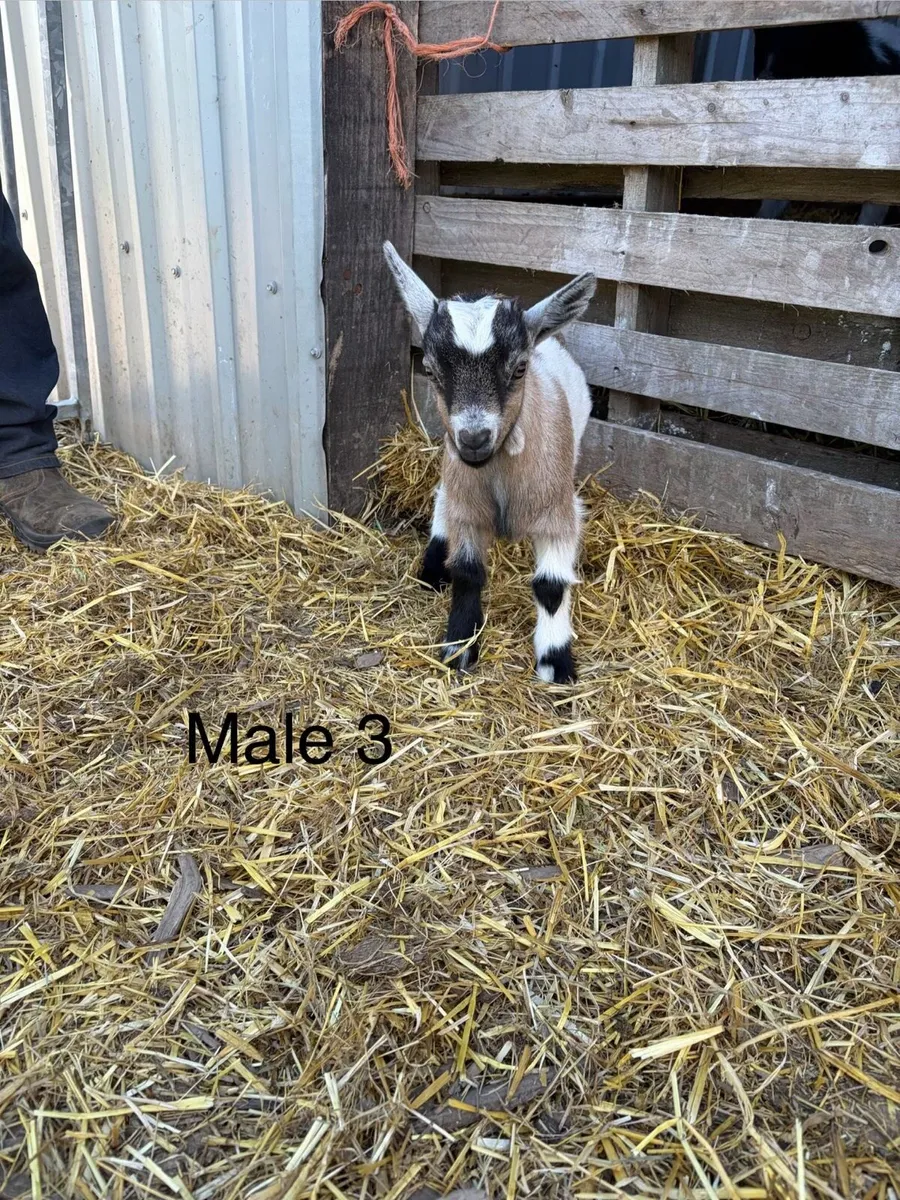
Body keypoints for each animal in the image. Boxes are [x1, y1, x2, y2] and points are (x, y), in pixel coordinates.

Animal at [383, 242, 596, 683]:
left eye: (519, 368)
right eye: (429, 369)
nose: (474, 438)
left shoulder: (557, 512)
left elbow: (551, 586)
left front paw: (555, 662)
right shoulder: (467, 503)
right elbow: (467, 573)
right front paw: (459, 647)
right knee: (441, 494)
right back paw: (433, 566)